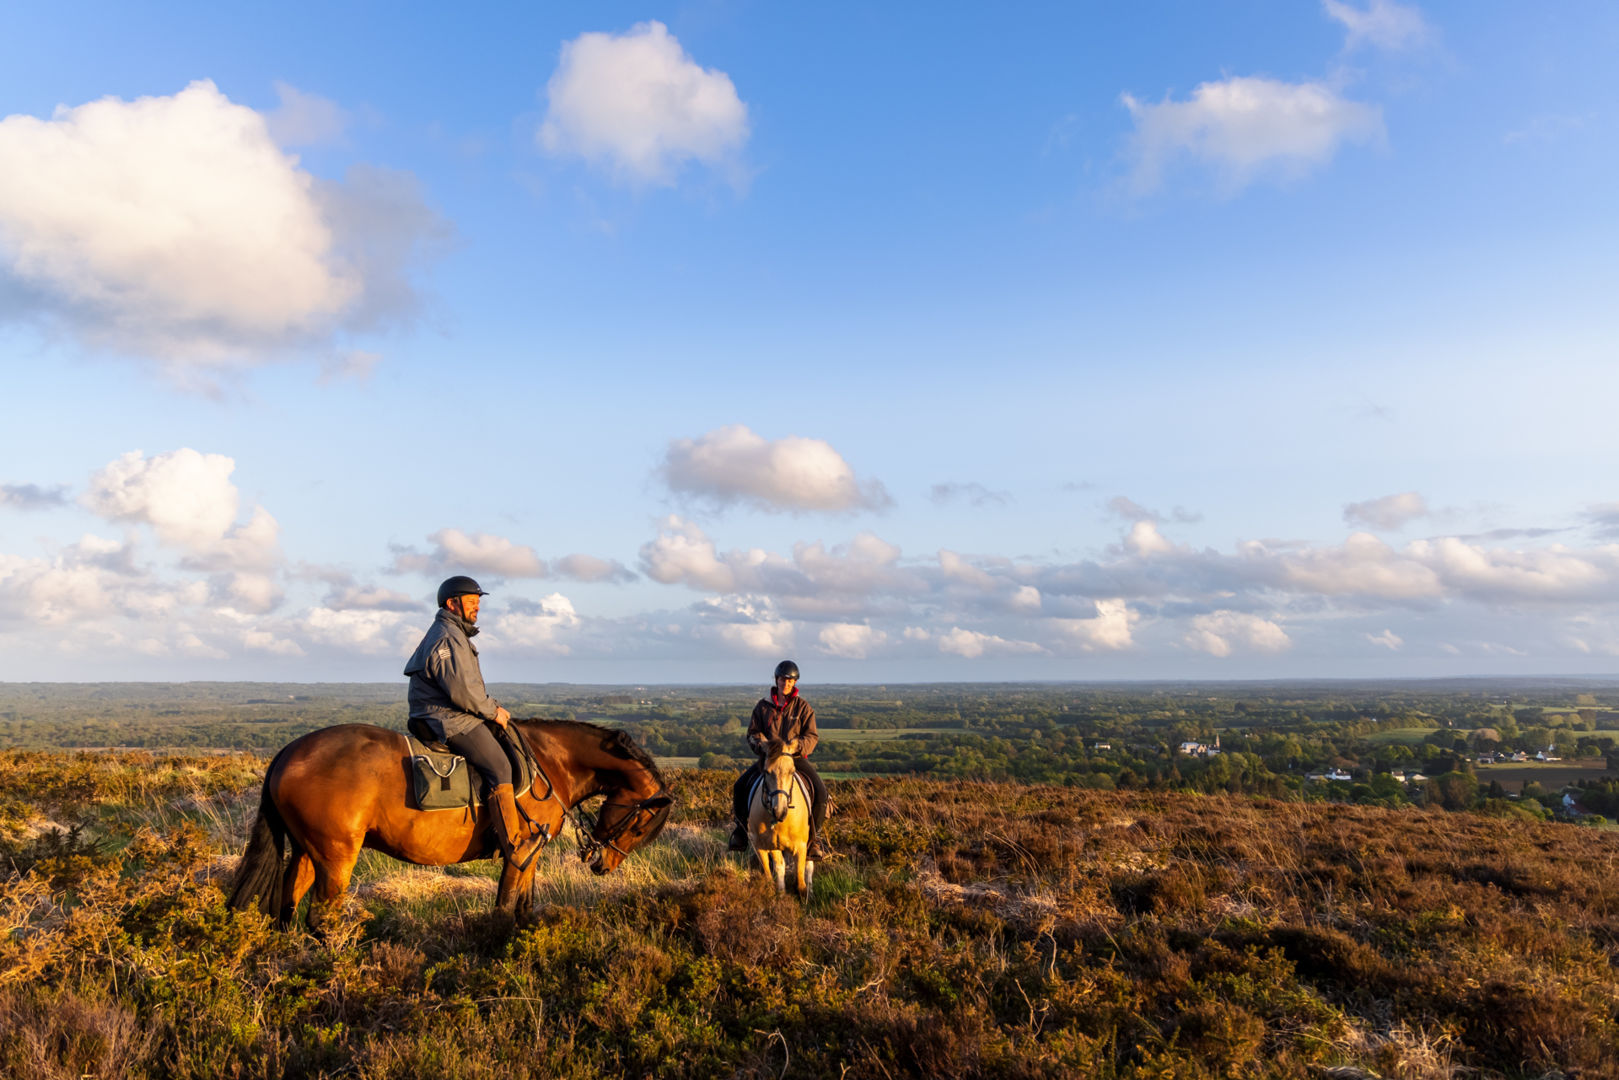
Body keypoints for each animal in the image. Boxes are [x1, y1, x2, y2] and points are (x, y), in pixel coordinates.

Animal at [228, 718, 670, 932]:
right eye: (640, 826)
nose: (603, 865)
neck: (551, 762)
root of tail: (289, 751)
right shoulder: (520, 851)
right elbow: (504, 908)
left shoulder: (532, 854)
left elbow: (524, 909)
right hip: (336, 856)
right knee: (320, 916)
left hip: (309, 852)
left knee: (286, 907)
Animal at [747, 738, 815, 900]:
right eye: (766, 771)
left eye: (792, 771)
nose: (779, 810)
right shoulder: (765, 845)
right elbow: (775, 869)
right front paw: (780, 894)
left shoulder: (801, 846)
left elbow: (800, 881)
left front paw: (805, 896)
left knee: (809, 865)